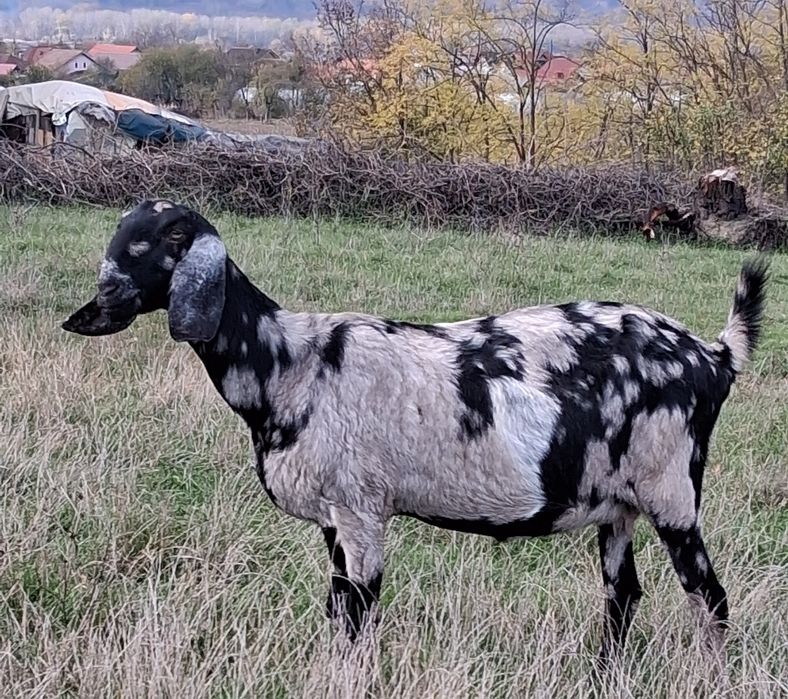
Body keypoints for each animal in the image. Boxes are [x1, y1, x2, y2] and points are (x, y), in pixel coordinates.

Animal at [62, 199, 769, 662]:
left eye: (148, 246)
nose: (88, 314)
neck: (290, 362)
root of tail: (713, 355)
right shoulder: (334, 518)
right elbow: (337, 609)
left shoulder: (360, 509)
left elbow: (354, 616)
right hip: (616, 503)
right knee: (624, 596)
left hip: (671, 488)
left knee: (708, 597)